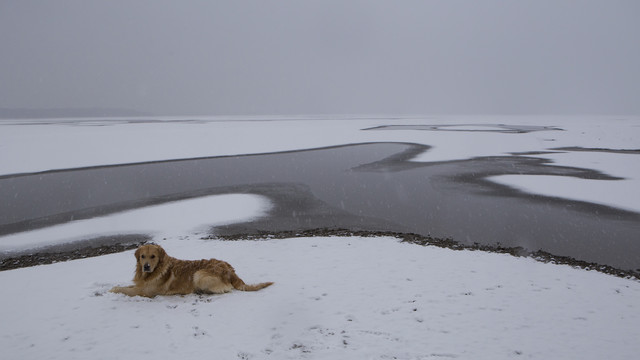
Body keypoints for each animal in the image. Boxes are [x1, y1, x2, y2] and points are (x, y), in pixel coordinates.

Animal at [109, 245, 272, 298]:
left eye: (153, 256)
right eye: (142, 256)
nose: (146, 266)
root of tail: (230, 270)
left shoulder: (145, 291)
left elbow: (124, 290)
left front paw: (112, 289)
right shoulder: (140, 285)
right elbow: (127, 286)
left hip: (198, 274)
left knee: (225, 289)